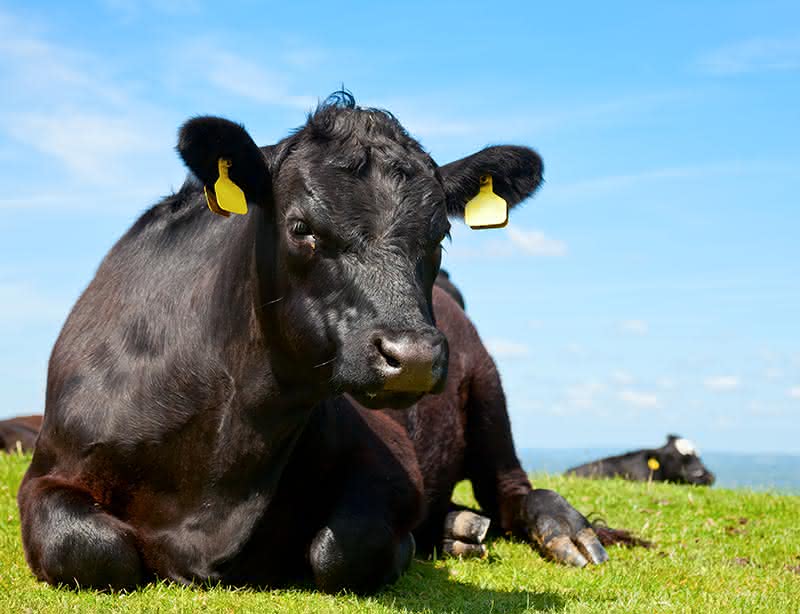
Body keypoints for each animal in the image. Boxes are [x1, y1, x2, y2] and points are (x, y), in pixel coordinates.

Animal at [17, 92, 608, 596]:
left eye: (440, 234)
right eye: (301, 227)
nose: (414, 357)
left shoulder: (389, 463)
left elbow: (342, 549)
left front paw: (407, 547)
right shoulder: (47, 470)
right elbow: (88, 547)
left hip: (489, 393)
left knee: (511, 489)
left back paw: (561, 532)